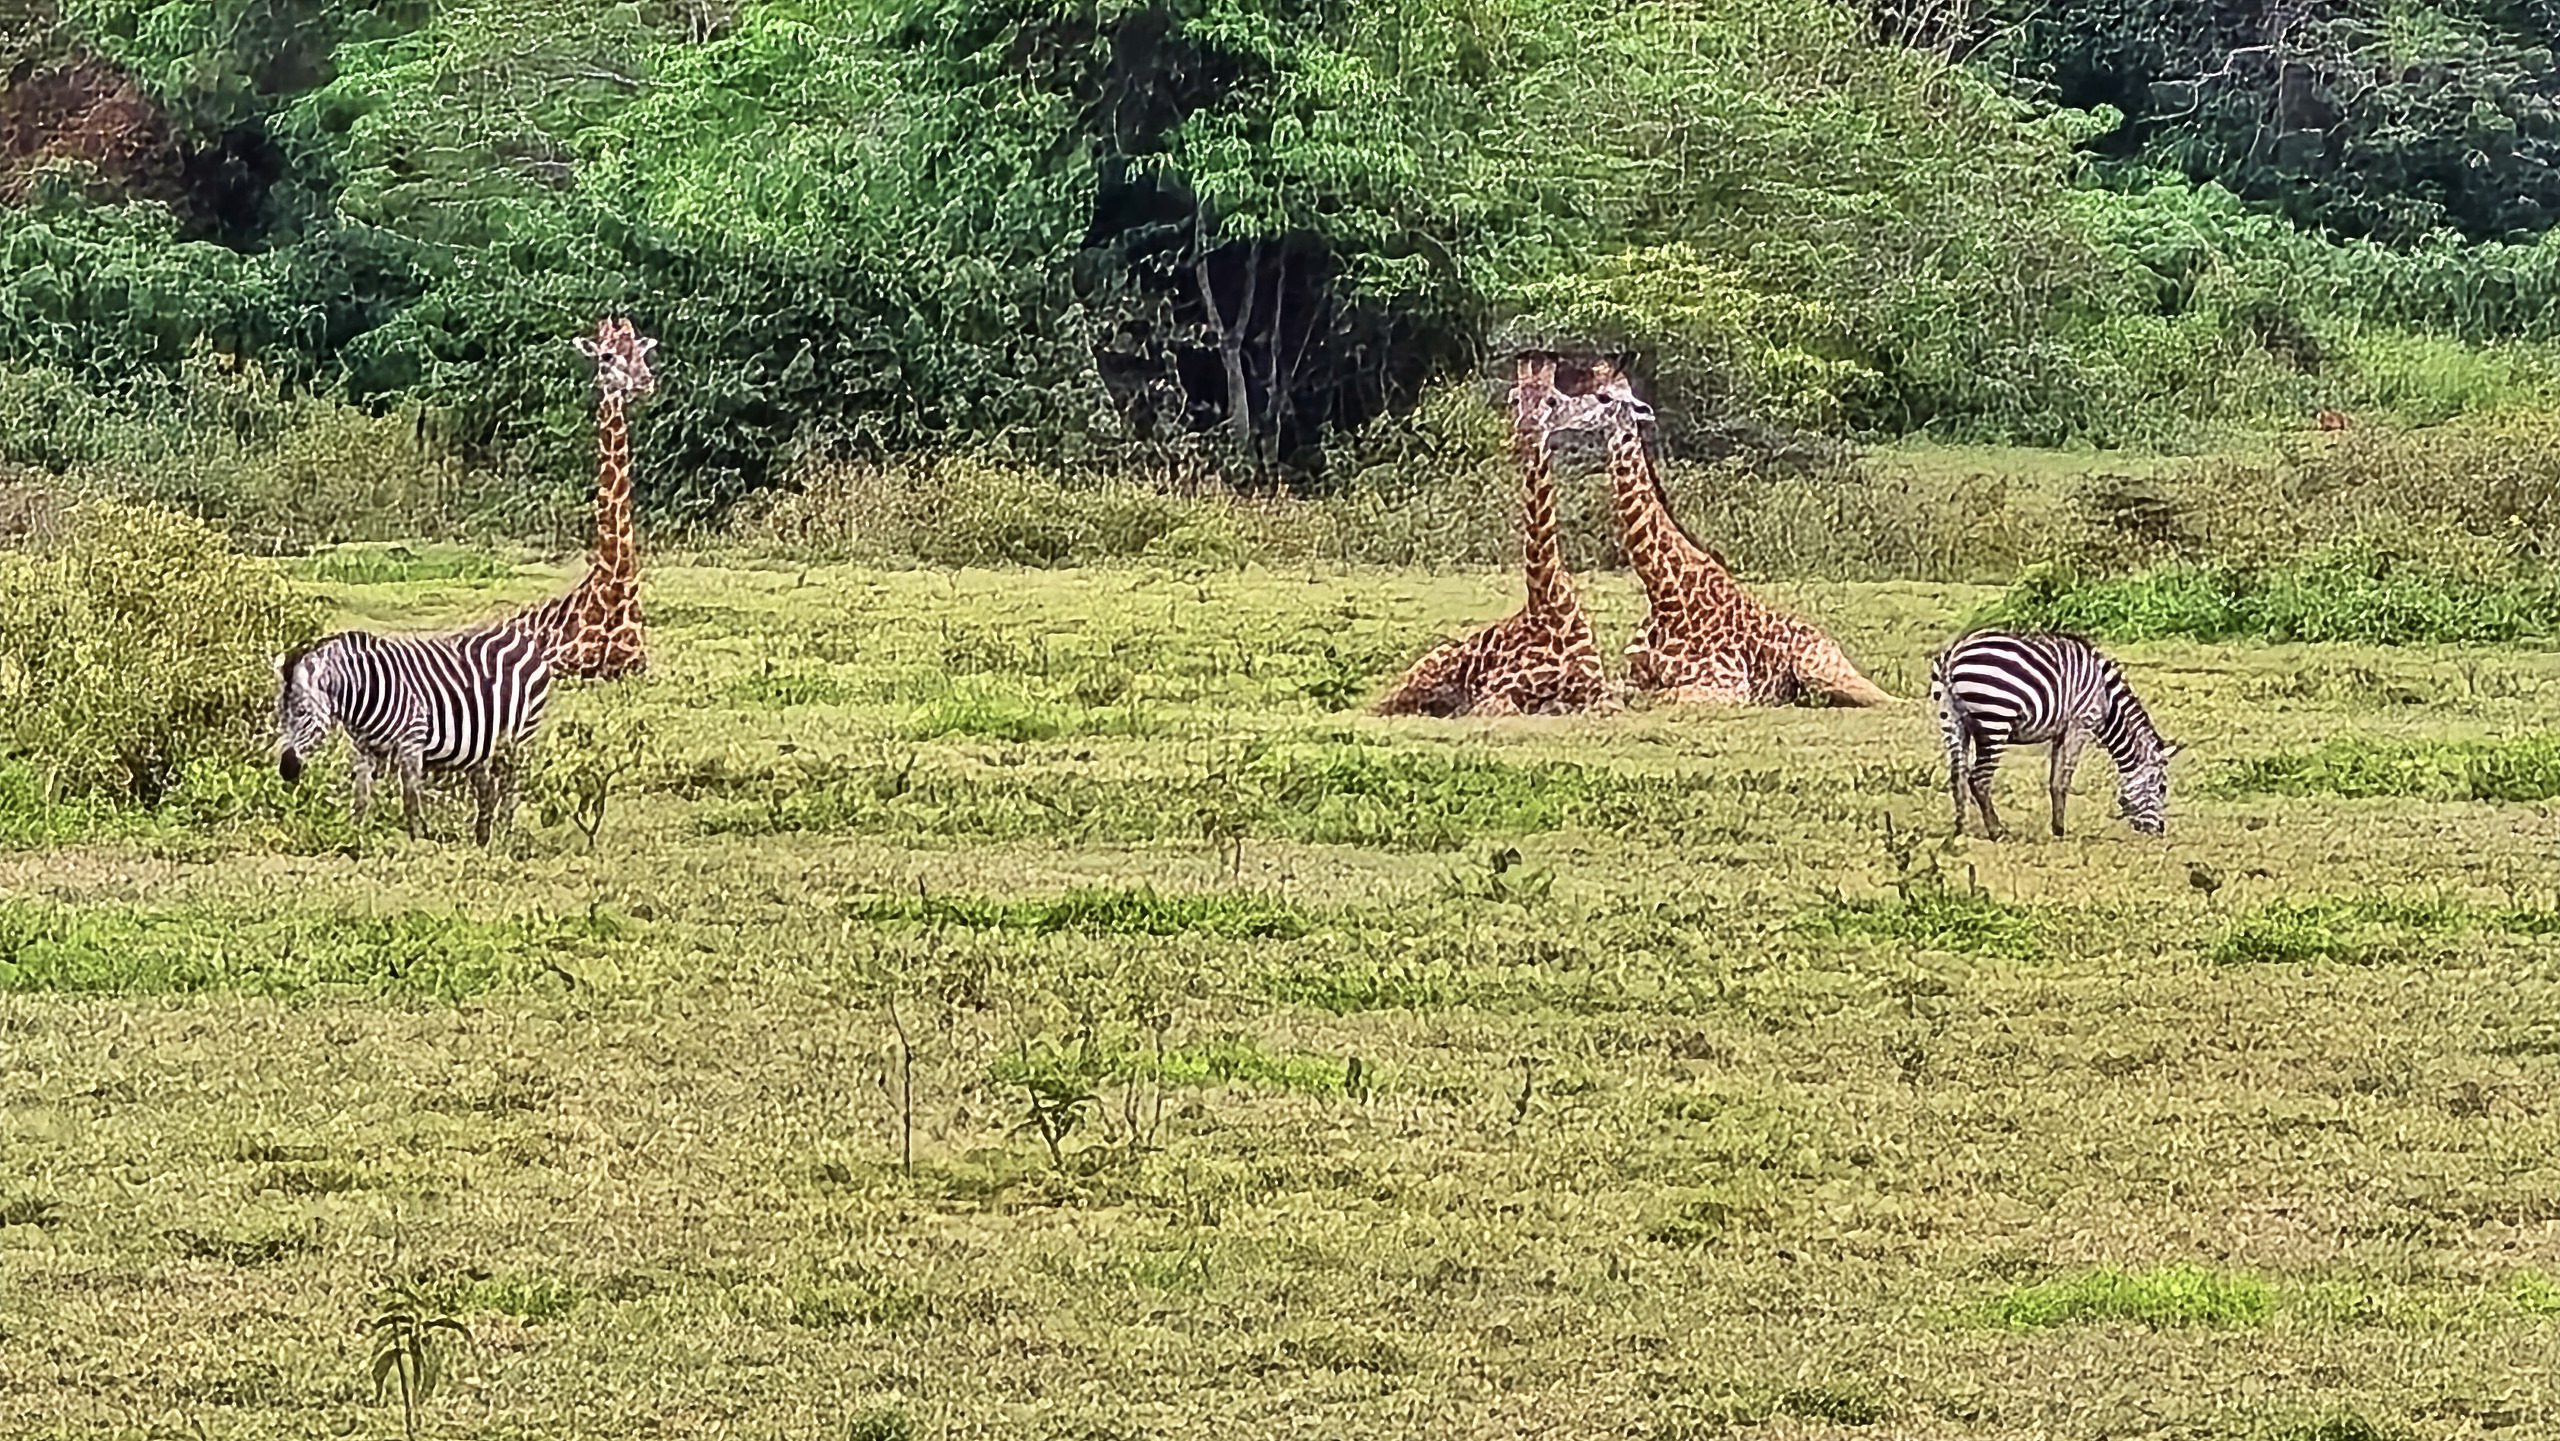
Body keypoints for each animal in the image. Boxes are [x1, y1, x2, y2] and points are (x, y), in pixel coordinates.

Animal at [274, 625, 554, 845]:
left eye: (301, 711)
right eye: (280, 712)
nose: (286, 770)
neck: (364, 691)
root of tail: (521, 637)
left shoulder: (411, 741)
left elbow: (410, 796)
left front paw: (418, 840)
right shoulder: (364, 748)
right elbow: (361, 796)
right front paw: (354, 835)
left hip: (520, 737)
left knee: (510, 787)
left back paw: (502, 835)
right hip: (481, 742)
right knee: (486, 790)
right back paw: (482, 839)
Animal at [1930, 629, 2181, 839]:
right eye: (2162, 788)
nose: (2160, 831)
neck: (2107, 700)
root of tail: (1954, 653)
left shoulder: (2060, 732)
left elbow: (2054, 780)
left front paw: (2056, 828)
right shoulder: (2080, 724)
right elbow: (2065, 779)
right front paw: (2061, 831)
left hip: (1952, 719)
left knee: (1957, 775)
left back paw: (1960, 832)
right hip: (1996, 719)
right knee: (1978, 779)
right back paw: (1997, 832)